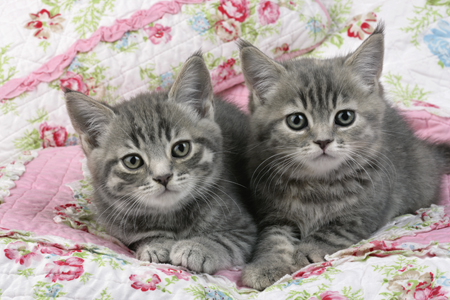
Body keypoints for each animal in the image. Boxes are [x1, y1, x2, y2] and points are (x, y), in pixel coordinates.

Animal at [65, 52, 258, 274]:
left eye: (181, 148)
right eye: (133, 161)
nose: (163, 176)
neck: (171, 216)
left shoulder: (244, 227)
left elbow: (225, 240)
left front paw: (197, 247)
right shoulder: (120, 228)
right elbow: (141, 238)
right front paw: (155, 244)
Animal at [237, 24, 450, 290]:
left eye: (345, 117)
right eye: (296, 121)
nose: (323, 141)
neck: (316, 186)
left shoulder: (364, 213)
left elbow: (330, 232)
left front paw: (304, 252)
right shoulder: (273, 213)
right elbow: (272, 238)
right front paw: (267, 265)